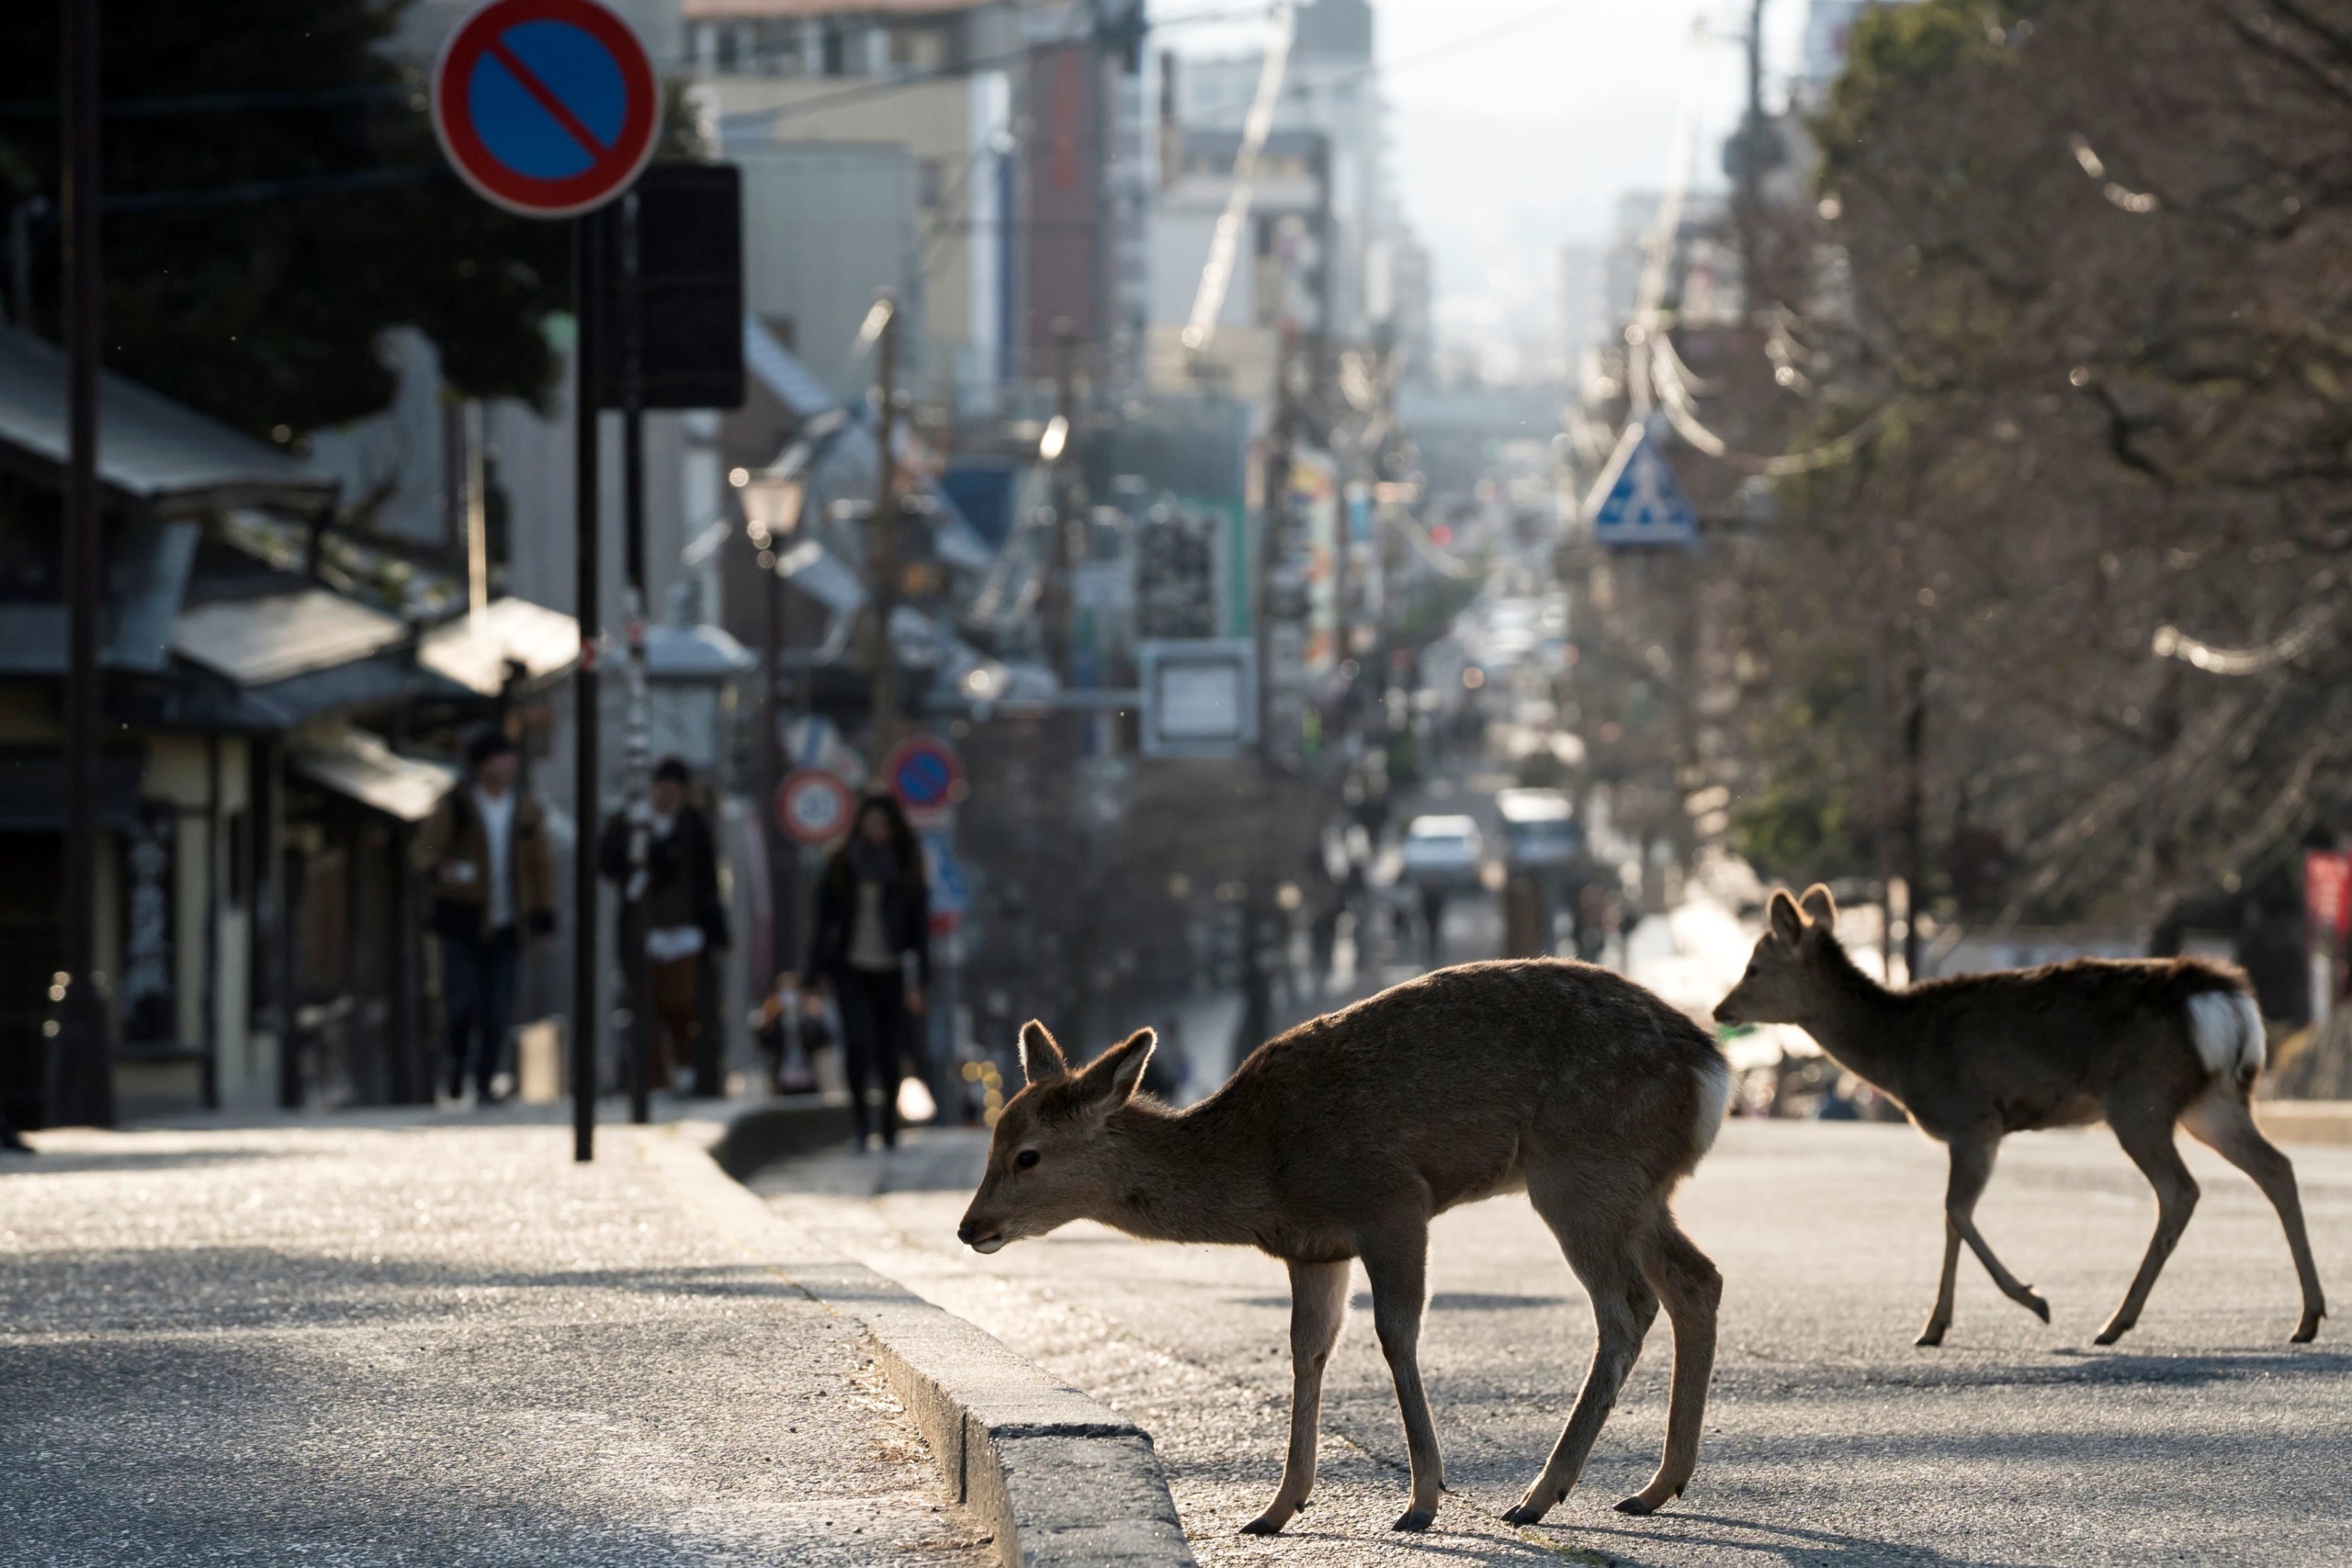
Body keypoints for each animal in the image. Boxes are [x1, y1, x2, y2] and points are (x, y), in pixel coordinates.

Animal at [945, 964, 1740, 1541]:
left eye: (1026, 1154)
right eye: (993, 1138)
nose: (969, 1225)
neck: (1262, 1168)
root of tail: (1714, 1072)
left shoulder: (1392, 1202)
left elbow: (1395, 1333)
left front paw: (1421, 1501)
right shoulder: (1314, 1249)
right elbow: (1310, 1347)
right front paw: (1276, 1507)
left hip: (1582, 1170)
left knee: (1627, 1304)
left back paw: (1540, 1495)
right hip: (1637, 1187)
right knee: (1696, 1279)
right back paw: (1654, 1487)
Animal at [1721, 884, 2324, 1354]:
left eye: (1754, 967)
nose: (1722, 1009)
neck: (1902, 1051)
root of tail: (2224, 999)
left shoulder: (1973, 1117)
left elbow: (1955, 1211)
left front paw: (2033, 1301)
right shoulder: (1971, 1131)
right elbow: (1951, 1217)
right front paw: (1935, 1326)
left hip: (2139, 1099)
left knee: (2181, 1189)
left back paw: (2114, 1322)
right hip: (2212, 1100)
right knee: (2277, 1167)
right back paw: (2308, 1317)